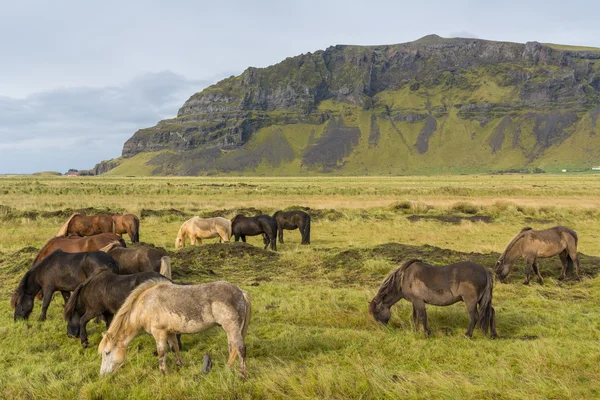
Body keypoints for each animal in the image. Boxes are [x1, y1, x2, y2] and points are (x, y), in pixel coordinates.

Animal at [98, 280, 251, 376]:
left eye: (107, 352)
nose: (102, 375)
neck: (145, 305)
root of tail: (241, 292)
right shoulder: (170, 332)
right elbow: (174, 348)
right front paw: (180, 364)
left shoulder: (159, 333)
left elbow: (161, 353)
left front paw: (163, 372)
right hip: (230, 330)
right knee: (233, 348)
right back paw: (228, 367)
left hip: (232, 328)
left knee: (240, 348)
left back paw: (242, 374)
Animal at [368, 260, 500, 338]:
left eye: (376, 312)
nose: (382, 329)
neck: (405, 277)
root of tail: (485, 270)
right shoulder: (415, 302)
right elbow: (415, 317)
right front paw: (416, 331)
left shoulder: (419, 301)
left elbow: (422, 316)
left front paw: (427, 333)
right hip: (483, 301)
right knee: (491, 312)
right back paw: (493, 334)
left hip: (470, 301)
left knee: (474, 317)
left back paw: (467, 335)